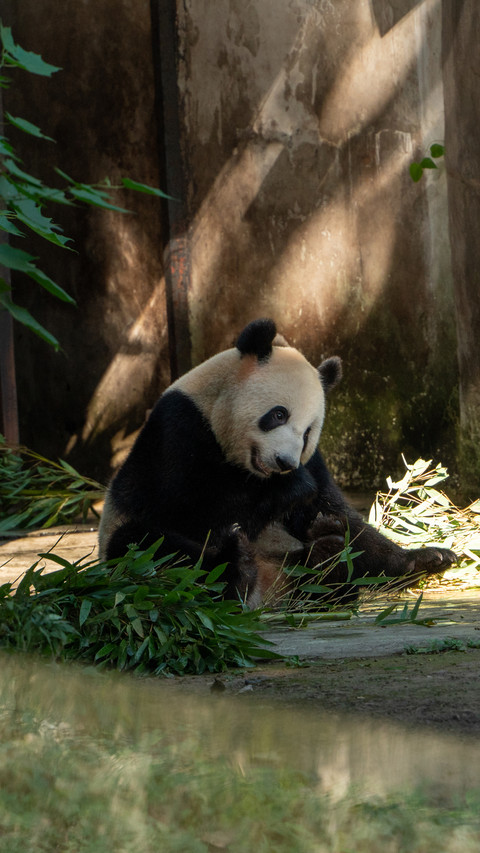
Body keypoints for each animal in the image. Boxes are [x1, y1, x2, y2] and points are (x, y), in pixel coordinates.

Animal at [99, 318, 456, 607]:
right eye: (279, 414)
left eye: (308, 432)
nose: (285, 461)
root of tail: (270, 593)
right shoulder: (178, 430)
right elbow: (186, 511)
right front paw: (292, 488)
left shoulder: (313, 460)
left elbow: (344, 518)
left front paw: (426, 558)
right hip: (137, 556)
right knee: (144, 545)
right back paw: (236, 566)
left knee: (333, 562)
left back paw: (327, 554)